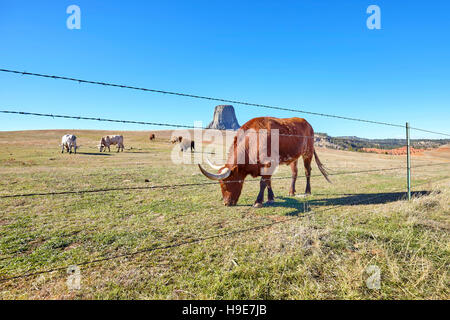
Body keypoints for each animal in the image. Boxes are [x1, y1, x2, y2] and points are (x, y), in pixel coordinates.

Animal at [198, 117, 330, 208]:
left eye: (226, 183)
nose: (226, 203)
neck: (252, 141)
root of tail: (307, 123)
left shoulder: (269, 163)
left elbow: (263, 182)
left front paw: (258, 201)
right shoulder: (267, 166)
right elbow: (268, 181)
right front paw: (270, 198)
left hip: (308, 153)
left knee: (307, 171)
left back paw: (307, 191)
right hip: (294, 157)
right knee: (294, 173)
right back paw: (291, 191)